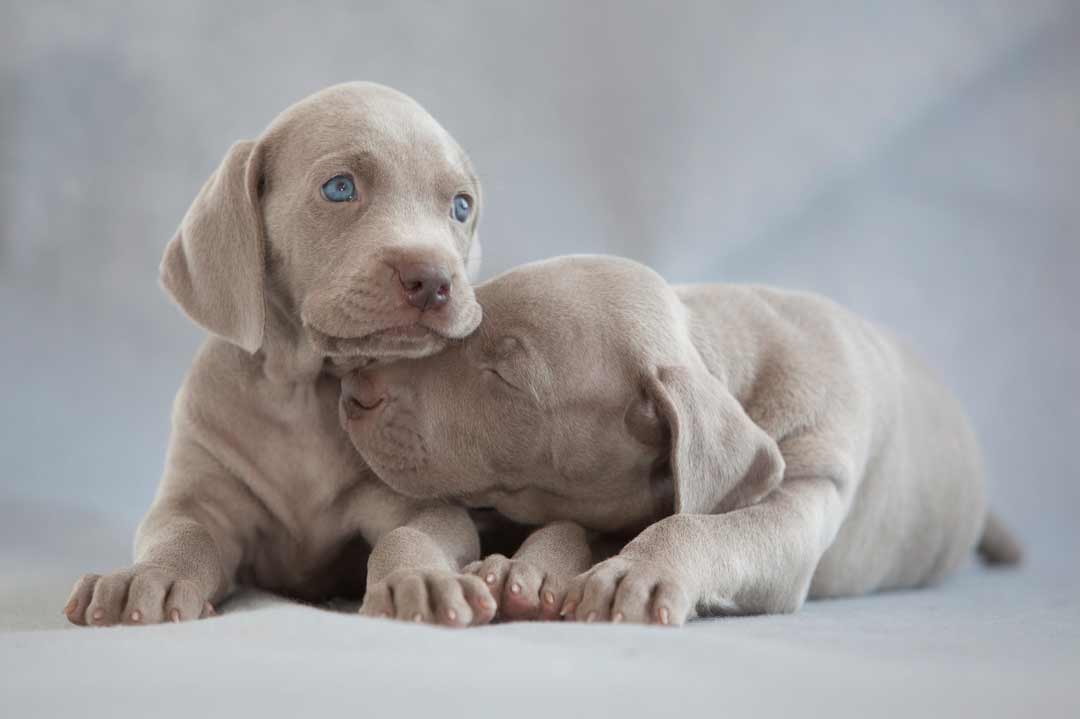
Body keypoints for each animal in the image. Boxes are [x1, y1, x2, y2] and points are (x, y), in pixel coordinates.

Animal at [67, 80, 501, 626]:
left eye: (461, 207)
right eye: (340, 188)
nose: (434, 281)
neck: (303, 392)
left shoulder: (423, 501)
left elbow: (411, 533)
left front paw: (420, 579)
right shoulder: (197, 494)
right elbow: (183, 533)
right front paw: (149, 577)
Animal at [341, 254, 1023, 626]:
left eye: (505, 375)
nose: (353, 387)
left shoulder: (811, 481)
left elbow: (701, 525)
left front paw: (635, 572)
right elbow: (559, 525)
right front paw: (517, 571)